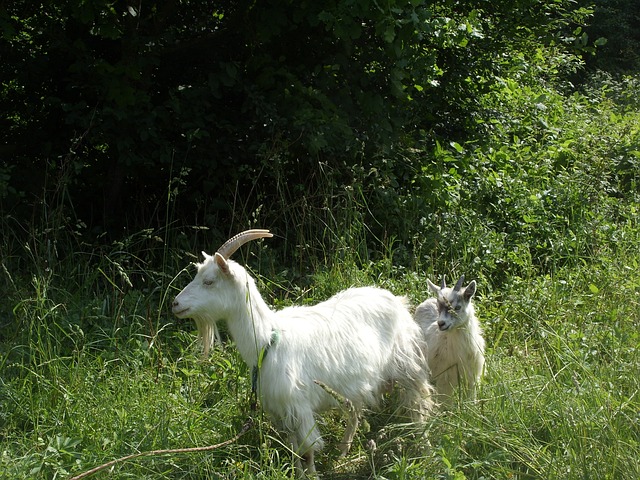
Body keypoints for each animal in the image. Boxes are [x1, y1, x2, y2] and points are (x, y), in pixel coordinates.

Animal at [171, 231, 436, 474]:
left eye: (209, 281)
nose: (175, 304)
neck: (268, 341)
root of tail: (396, 300)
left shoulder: (299, 406)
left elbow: (307, 450)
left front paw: (312, 475)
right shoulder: (281, 410)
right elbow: (292, 448)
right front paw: (298, 473)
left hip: (407, 365)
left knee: (419, 407)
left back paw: (425, 449)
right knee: (356, 412)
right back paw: (343, 452)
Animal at [416, 276, 484, 404]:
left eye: (457, 307)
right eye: (438, 307)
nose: (441, 323)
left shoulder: (472, 378)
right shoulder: (445, 380)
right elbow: (446, 403)